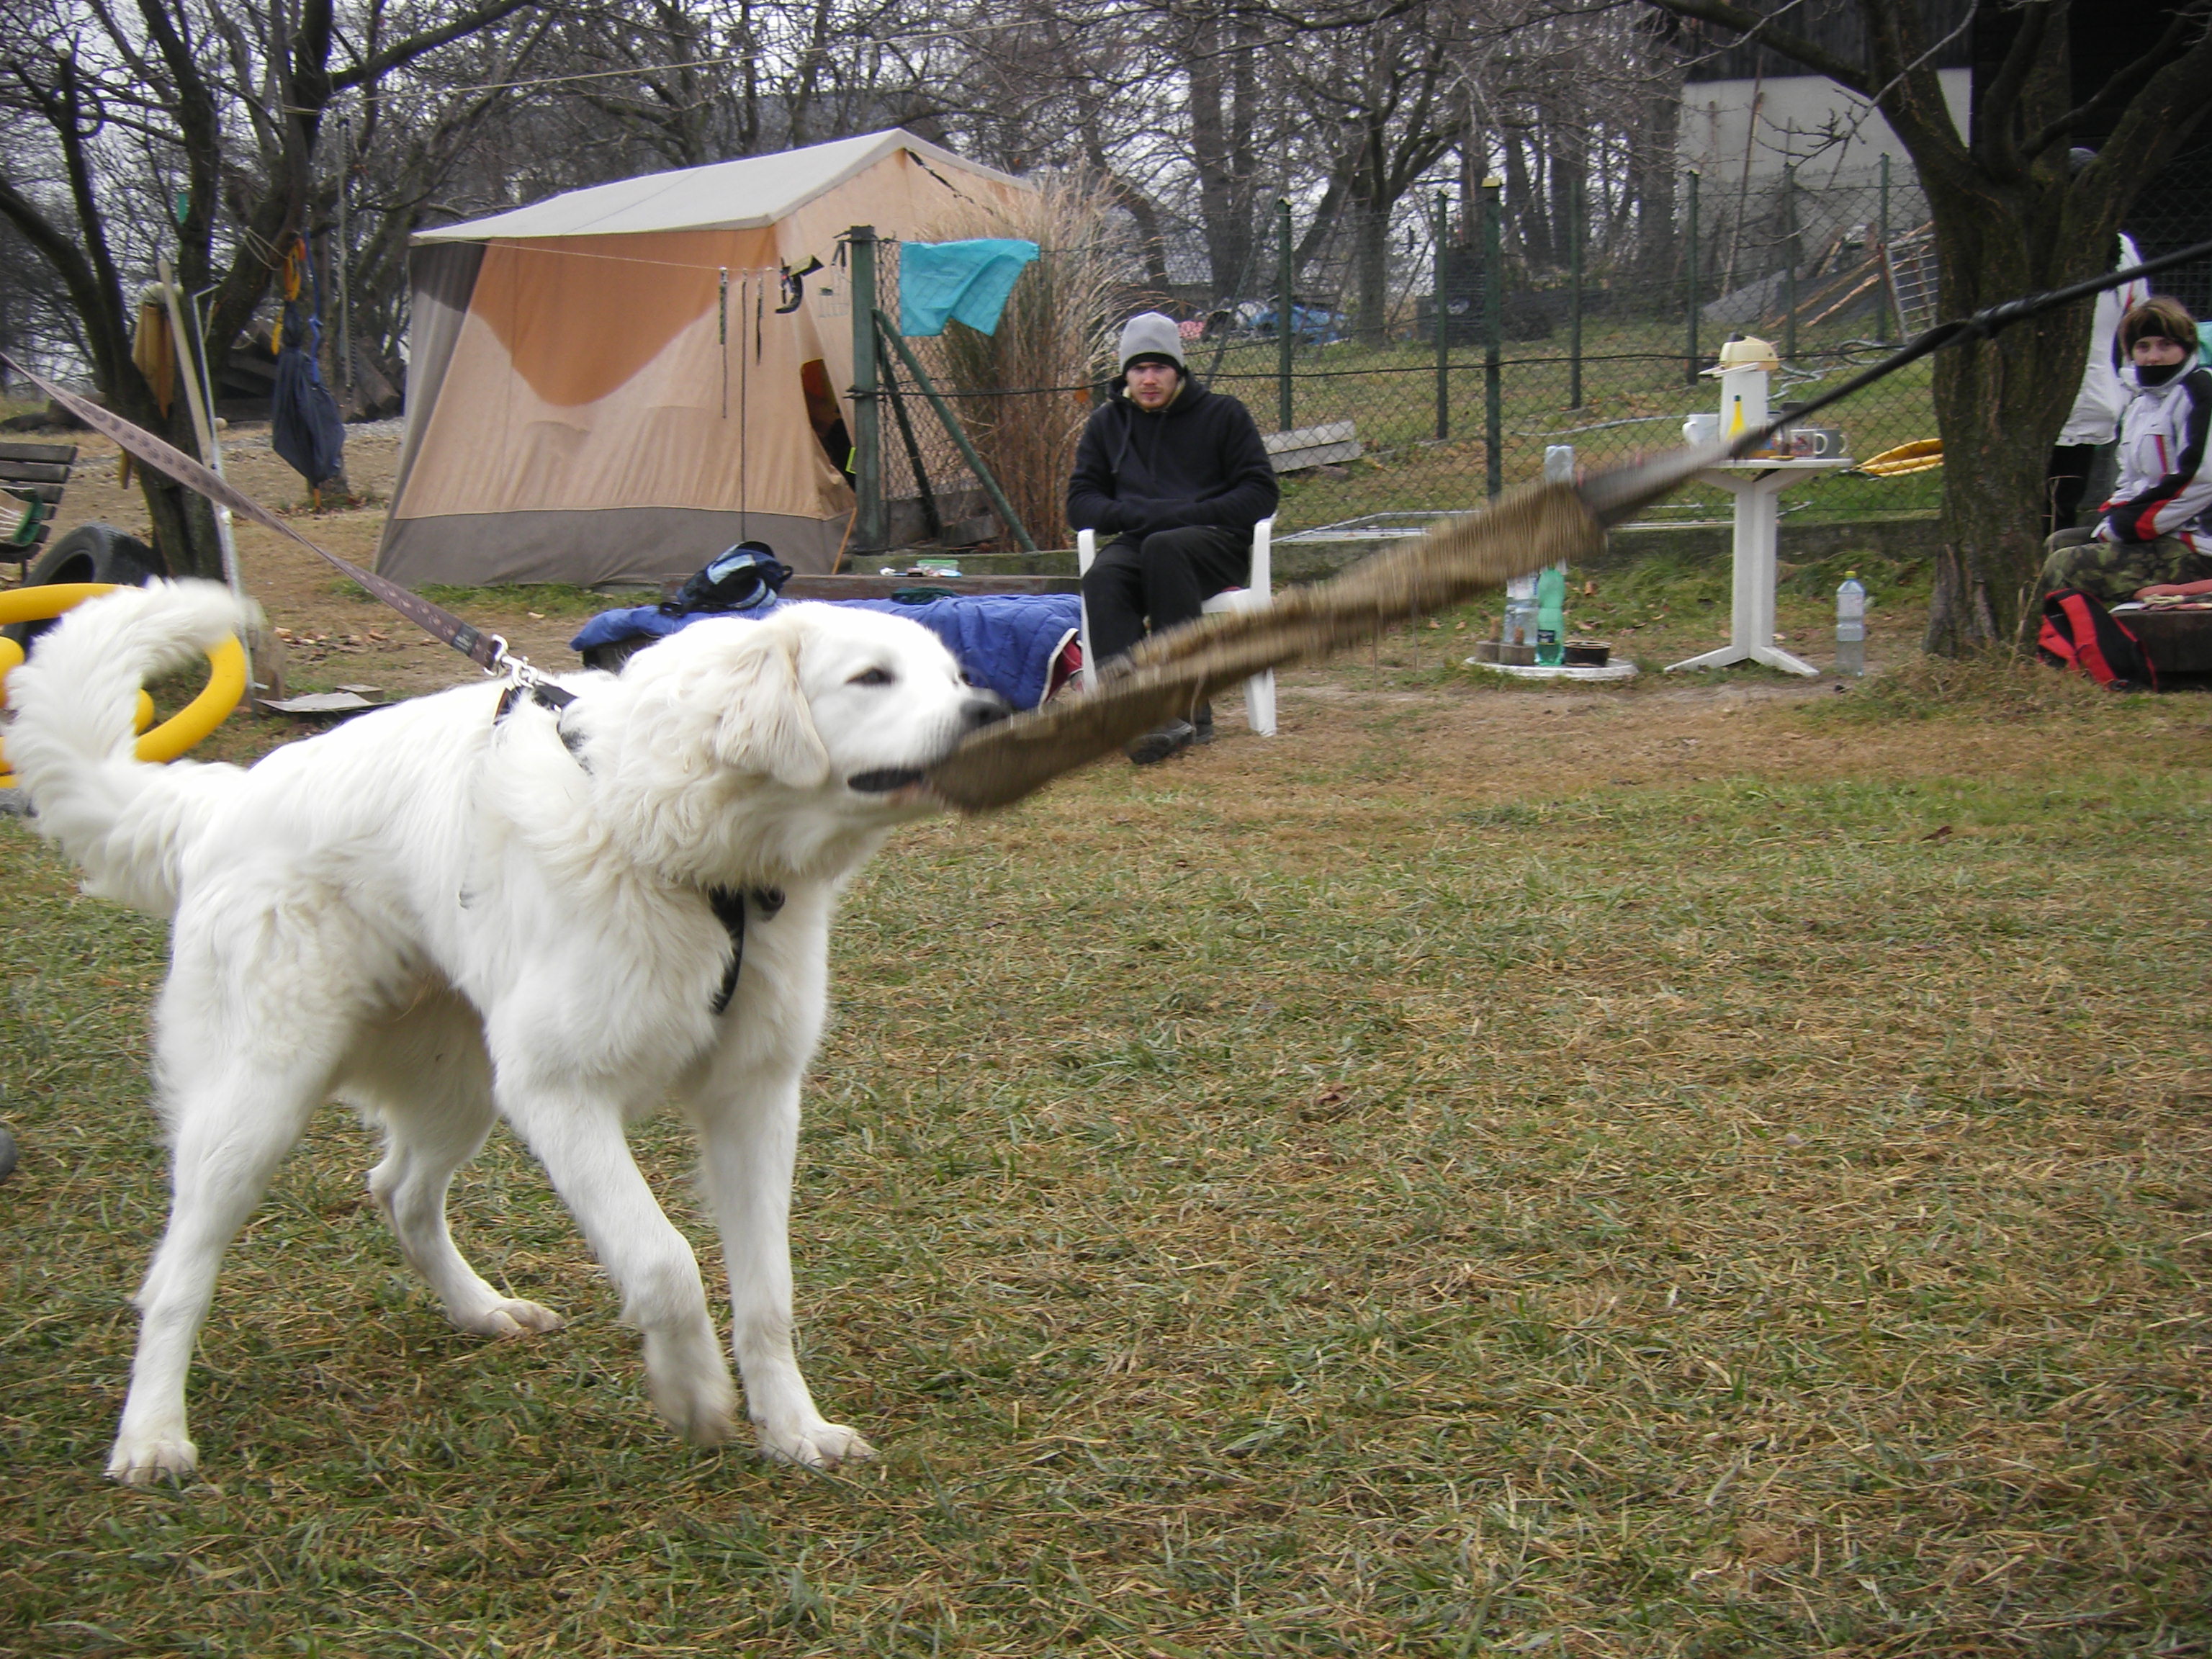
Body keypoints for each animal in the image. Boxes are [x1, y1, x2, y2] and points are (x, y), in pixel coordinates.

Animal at [4, 579, 1008, 1478]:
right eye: (872, 677)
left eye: (955, 675)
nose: (993, 710)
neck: (678, 847)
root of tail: (226, 800)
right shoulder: (561, 1094)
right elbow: (665, 1263)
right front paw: (693, 1394)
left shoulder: (753, 1100)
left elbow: (768, 1296)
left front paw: (795, 1432)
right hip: (260, 1106)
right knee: (178, 1274)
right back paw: (151, 1436)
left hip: (462, 1085)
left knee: (399, 1190)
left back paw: (480, 1311)